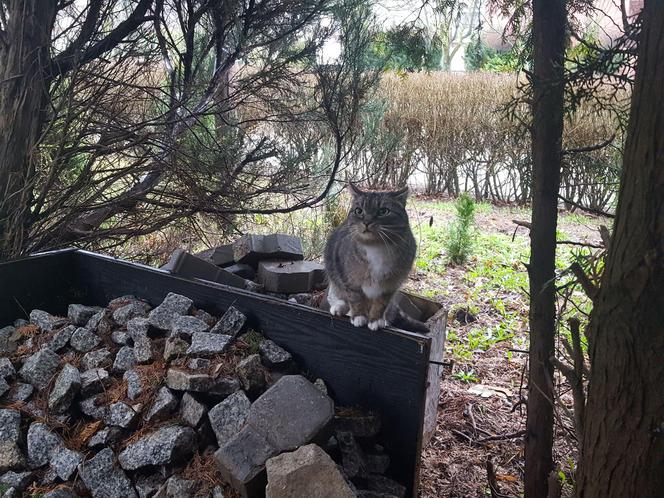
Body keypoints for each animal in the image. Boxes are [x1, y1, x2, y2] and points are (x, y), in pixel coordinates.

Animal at [324, 183, 418, 330]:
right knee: (337, 293)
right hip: (333, 270)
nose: (367, 222)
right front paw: (358, 317)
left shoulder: (390, 285)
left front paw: (376, 320)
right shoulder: (351, 280)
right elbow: (355, 298)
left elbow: (381, 303)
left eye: (383, 211)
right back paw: (339, 307)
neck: (375, 247)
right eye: (359, 211)